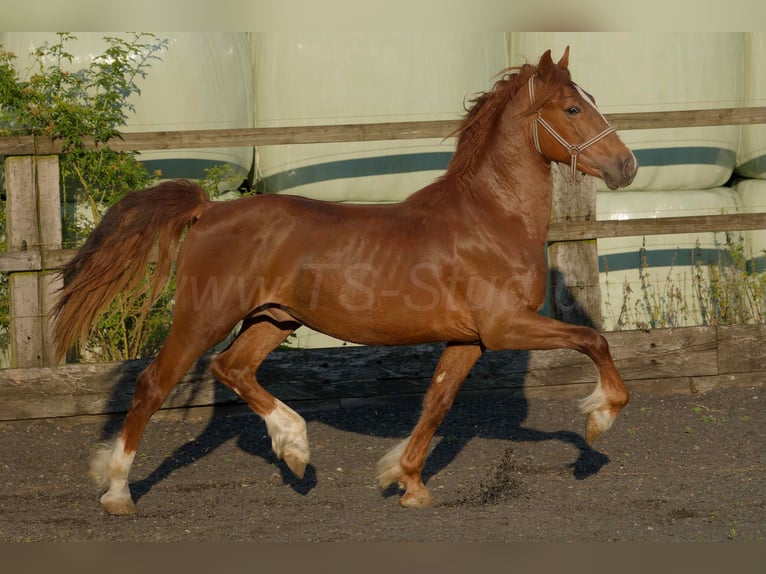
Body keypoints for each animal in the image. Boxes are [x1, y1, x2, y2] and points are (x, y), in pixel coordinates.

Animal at [53, 47, 638, 515]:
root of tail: (209, 210)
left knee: (231, 368)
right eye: (572, 108)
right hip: (205, 316)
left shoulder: (469, 339)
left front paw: (407, 483)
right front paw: (598, 419)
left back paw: (293, 447)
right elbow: (594, 340)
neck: (492, 218)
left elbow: (437, 403)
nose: (626, 167)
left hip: (272, 319)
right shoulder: (505, 326)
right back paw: (118, 492)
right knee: (154, 384)